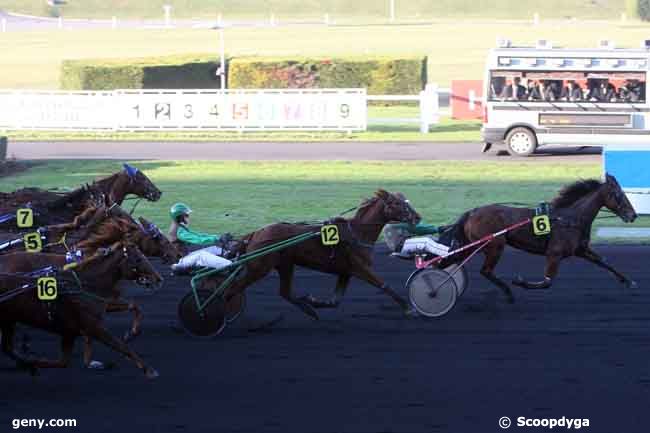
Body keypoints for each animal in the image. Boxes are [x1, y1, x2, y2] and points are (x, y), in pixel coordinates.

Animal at [0, 241, 162, 376]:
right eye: (138, 259)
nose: (159, 279)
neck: (83, 283)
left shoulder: (74, 328)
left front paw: (132, 333)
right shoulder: (93, 326)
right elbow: (120, 345)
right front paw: (149, 370)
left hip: (9, 321)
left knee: (7, 347)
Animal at [215, 190, 420, 320]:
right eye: (396, 203)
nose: (417, 217)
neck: (357, 233)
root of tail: (256, 233)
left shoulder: (346, 272)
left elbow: (334, 301)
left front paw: (313, 301)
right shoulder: (360, 268)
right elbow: (384, 285)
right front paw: (408, 308)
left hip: (285, 264)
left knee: (284, 292)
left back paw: (308, 309)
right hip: (259, 268)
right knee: (231, 290)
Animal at [442, 172, 636, 300]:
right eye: (618, 194)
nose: (633, 215)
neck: (570, 218)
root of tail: (472, 212)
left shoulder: (580, 250)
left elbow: (604, 262)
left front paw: (628, 281)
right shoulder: (554, 254)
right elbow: (547, 282)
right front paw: (520, 282)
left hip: (474, 245)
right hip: (494, 245)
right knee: (485, 271)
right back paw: (508, 292)